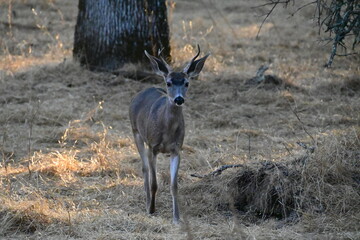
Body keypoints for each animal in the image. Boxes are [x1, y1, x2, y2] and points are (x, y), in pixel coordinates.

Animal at [129, 46, 210, 224]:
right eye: (169, 83)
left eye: (187, 83)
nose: (179, 99)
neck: (167, 132)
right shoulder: (152, 146)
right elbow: (154, 183)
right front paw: (151, 210)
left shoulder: (176, 149)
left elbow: (174, 185)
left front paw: (177, 218)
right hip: (136, 131)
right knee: (144, 168)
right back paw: (147, 203)